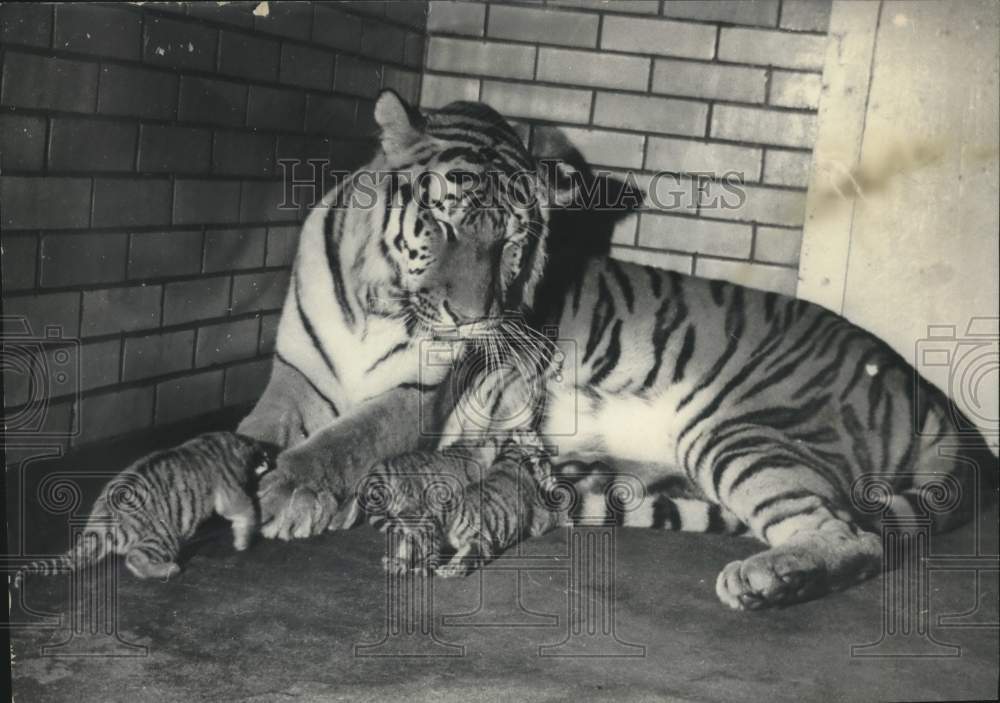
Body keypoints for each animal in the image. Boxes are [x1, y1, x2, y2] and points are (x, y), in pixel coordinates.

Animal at [240, 89, 992, 612]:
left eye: (511, 242)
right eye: (444, 221)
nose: (474, 318)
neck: (380, 302)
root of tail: (934, 399)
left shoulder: (421, 396)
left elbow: (351, 437)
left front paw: (286, 491)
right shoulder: (295, 377)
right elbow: (258, 428)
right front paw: (245, 477)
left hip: (743, 431)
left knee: (852, 536)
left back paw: (767, 582)